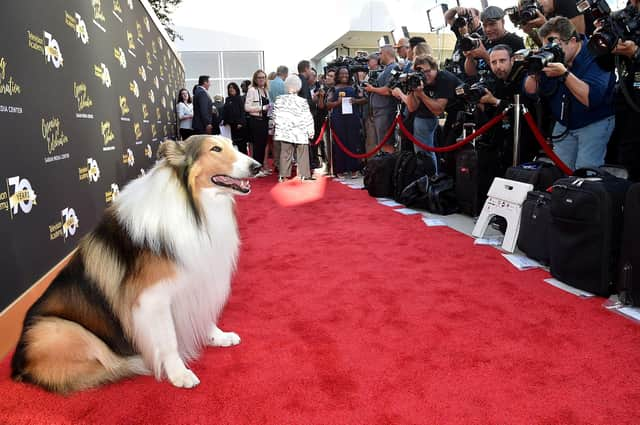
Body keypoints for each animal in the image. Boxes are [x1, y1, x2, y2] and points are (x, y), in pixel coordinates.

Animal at [10, 135, 260, 390]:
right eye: (215, 149)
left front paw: (218, 337)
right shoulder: (154, 299)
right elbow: (168, 340)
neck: (194, 205)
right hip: (61, 330)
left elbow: (204, 315)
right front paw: (179, 373)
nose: (256, 167)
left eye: (232, 145)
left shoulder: (199, 278)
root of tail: (17, 366)